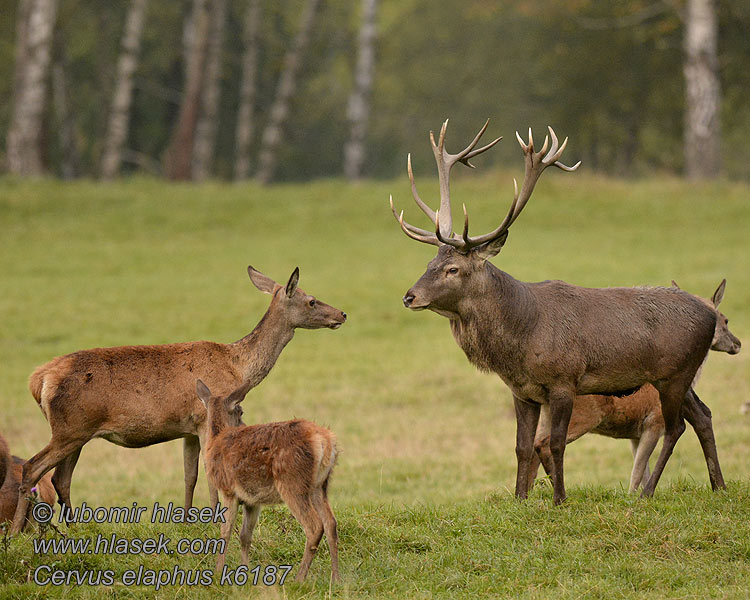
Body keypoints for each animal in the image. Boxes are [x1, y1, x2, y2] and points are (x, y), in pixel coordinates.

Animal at [10, 268, 348, 536]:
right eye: (312, 300)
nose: (342, 314)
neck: (238, 367)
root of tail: (39, 380)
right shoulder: (205, 417)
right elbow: (208, 474)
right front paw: (215, 520)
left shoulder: (188, 428)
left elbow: (190, 475)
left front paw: (185, 521)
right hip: (69, 429)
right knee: (32, 468)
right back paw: (15, 532)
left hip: (77, 431)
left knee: (60, 478)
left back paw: (73, 528)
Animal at [198, 380, 342, 580]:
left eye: (241, 411)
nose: (244, 423)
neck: (214, 442)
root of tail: (325, 440)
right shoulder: (252, 500)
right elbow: (245, 536)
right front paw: (245, 571)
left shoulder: (228, 489)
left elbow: (225, 532)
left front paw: (218, 572)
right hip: (319, 485)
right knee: (330, 523)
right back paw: (336, 579)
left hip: (293, 482)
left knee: (314, 526)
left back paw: (298, 579)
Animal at [390, 119, 720, 504]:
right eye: (429, 263)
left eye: (452, 269)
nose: (409, 297)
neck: (521, 339)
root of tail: (713, 316)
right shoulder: (521, 391)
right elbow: (521, 446)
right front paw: (520, 500)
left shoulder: (565, 381)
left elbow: (556, 443)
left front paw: (560, 499)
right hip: (678, 376)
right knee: (703, 415)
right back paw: (719, 485)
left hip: (675, 373)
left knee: (675, 426)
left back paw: (648, 491)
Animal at [532, 278, 744, 490]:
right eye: (725, 320)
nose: (737, 343)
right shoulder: (653, 423)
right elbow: (637, 474)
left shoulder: (635, 434)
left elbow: (640, 471)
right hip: (583, 416)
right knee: (543, 444)